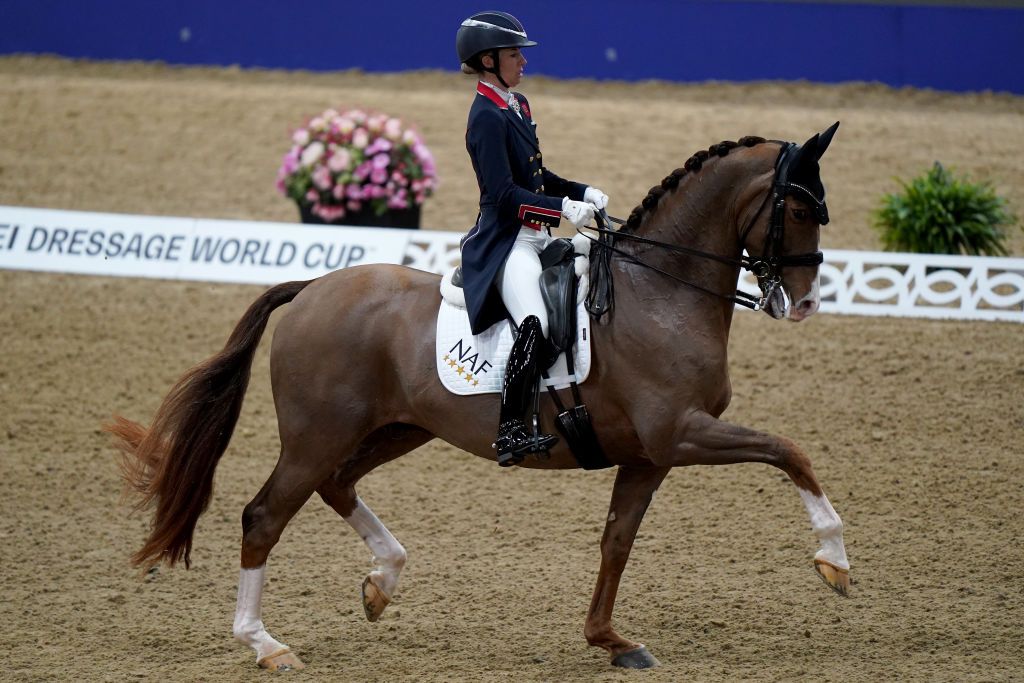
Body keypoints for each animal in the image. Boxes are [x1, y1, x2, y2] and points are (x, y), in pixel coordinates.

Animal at [108, 125, 851, 675]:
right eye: (797, 209)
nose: (807, 304)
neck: (659, 291)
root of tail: (312, 287)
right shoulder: (680, 433)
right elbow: (790, 450)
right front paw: (834, 561)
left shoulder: (649, 454)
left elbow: (617, 540)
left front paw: (609, 639)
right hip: (318, 434)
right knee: (264, 516)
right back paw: (265, 643)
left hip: (397, 428)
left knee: (337, 485)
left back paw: (383, 581)